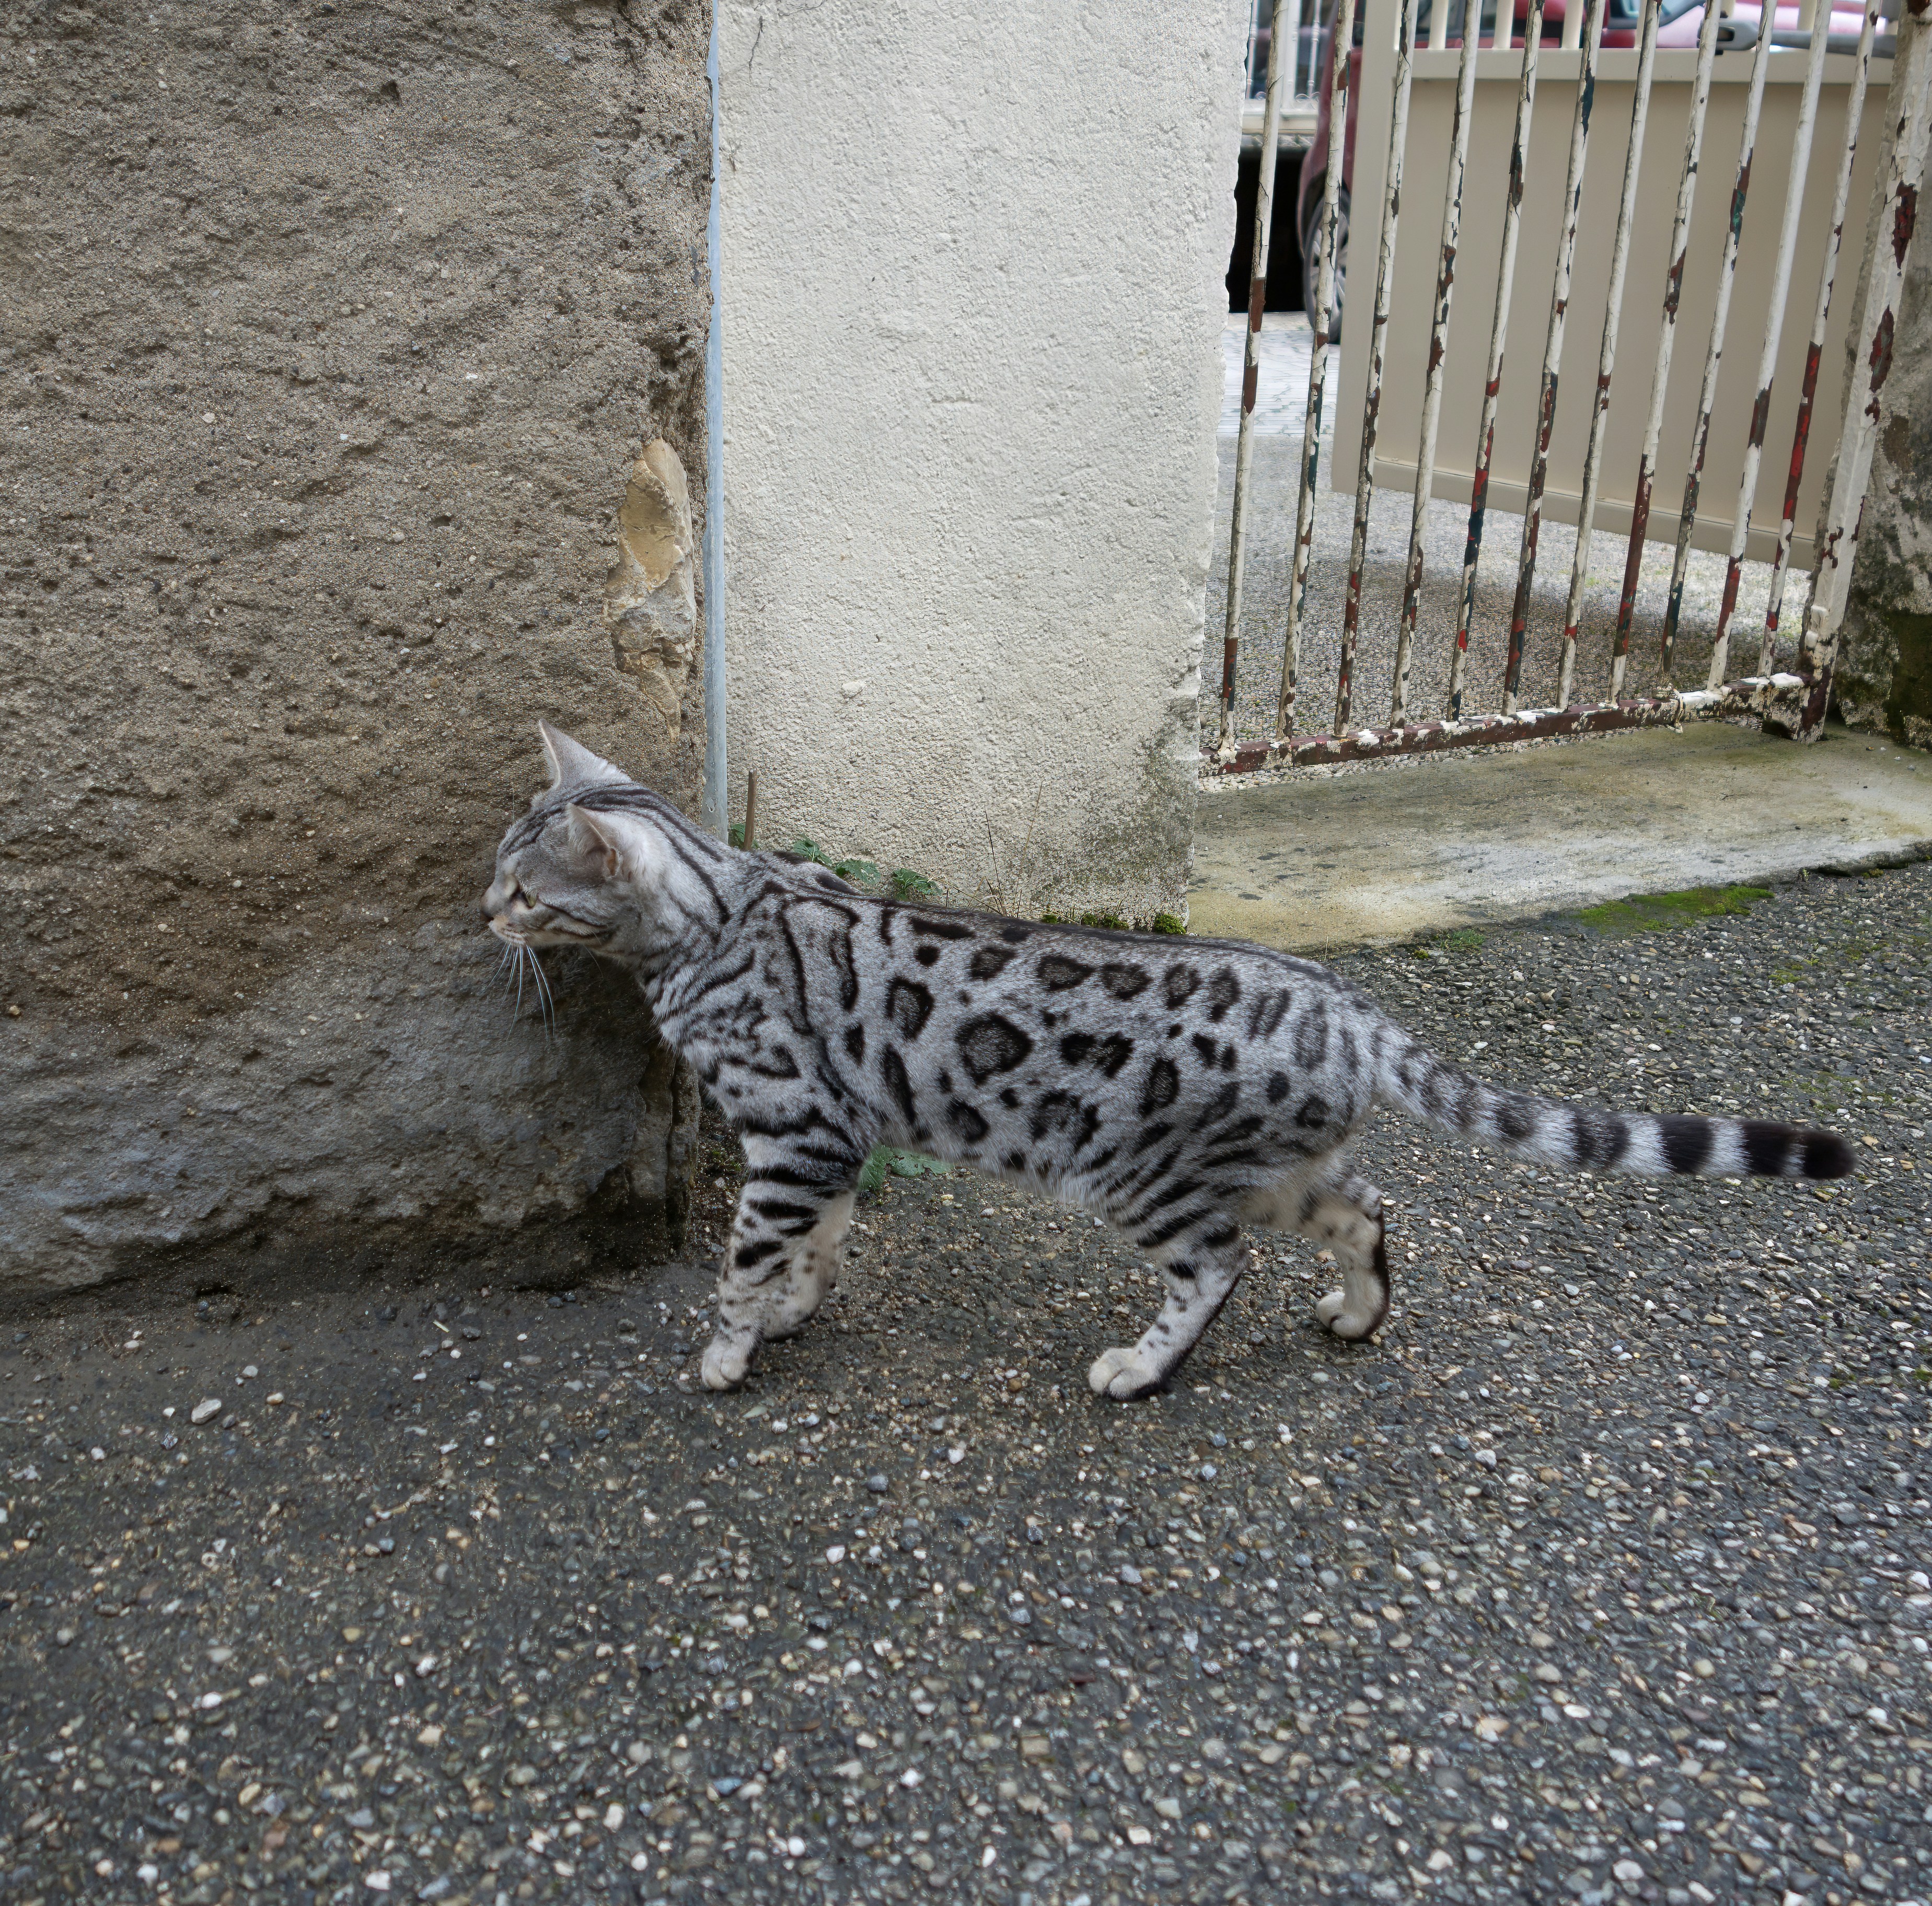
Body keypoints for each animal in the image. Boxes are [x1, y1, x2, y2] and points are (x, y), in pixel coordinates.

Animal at [485, 723, 1852, 1400]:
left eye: (524, 887)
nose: (482, 909)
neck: (715, 911)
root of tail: (1348, 1008)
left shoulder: (795, 1132)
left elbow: (747, 1254)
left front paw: (729, 1350)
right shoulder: (831, 1140)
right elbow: (815, 1245)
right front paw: (792, 1311)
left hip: (1137, 1173)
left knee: (1217, 1267)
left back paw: (1140, 1369)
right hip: (1282, 1165)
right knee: (1366, 1211)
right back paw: (1354, 1315)